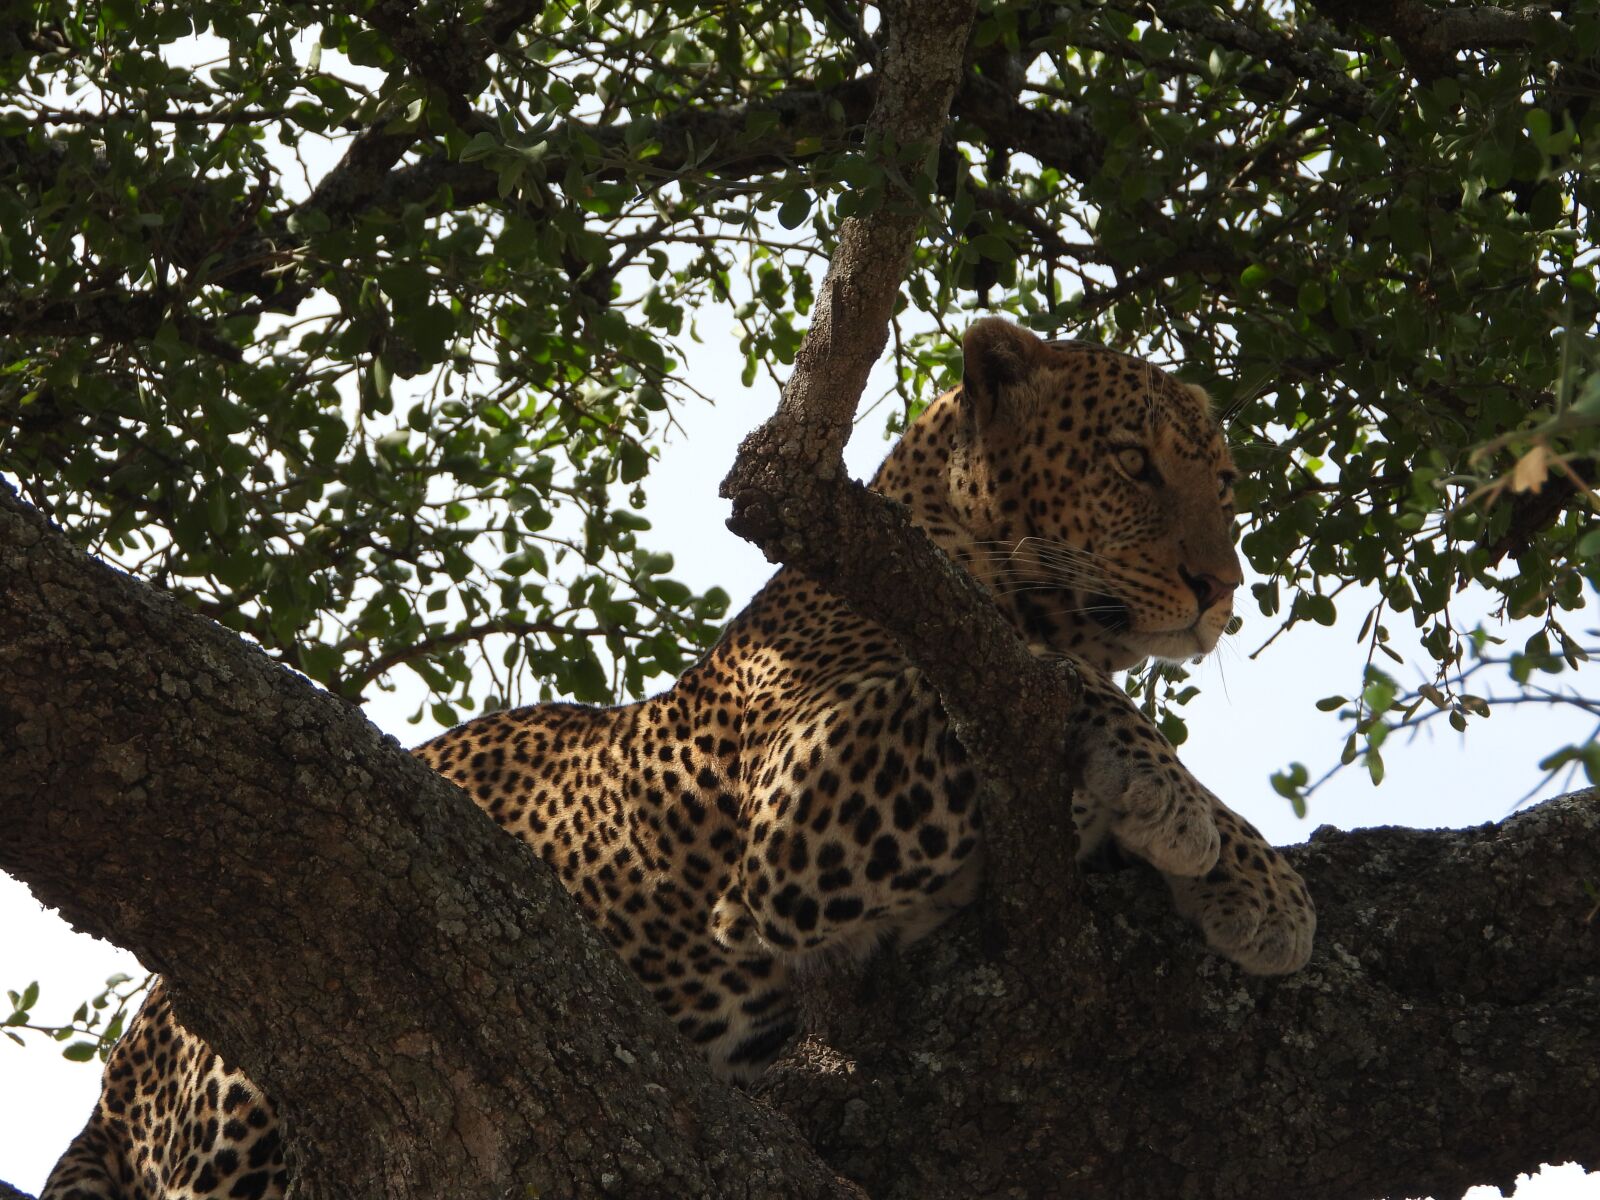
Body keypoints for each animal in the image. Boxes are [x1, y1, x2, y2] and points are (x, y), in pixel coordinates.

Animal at [42, 317, 1315, 1199]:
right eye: (1133, 464)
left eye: (1224, 484)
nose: (1222, 587)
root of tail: (113, 1080)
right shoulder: (806, 805)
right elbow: (1059, 688)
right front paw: (1180, 808)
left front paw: (1257, 882)